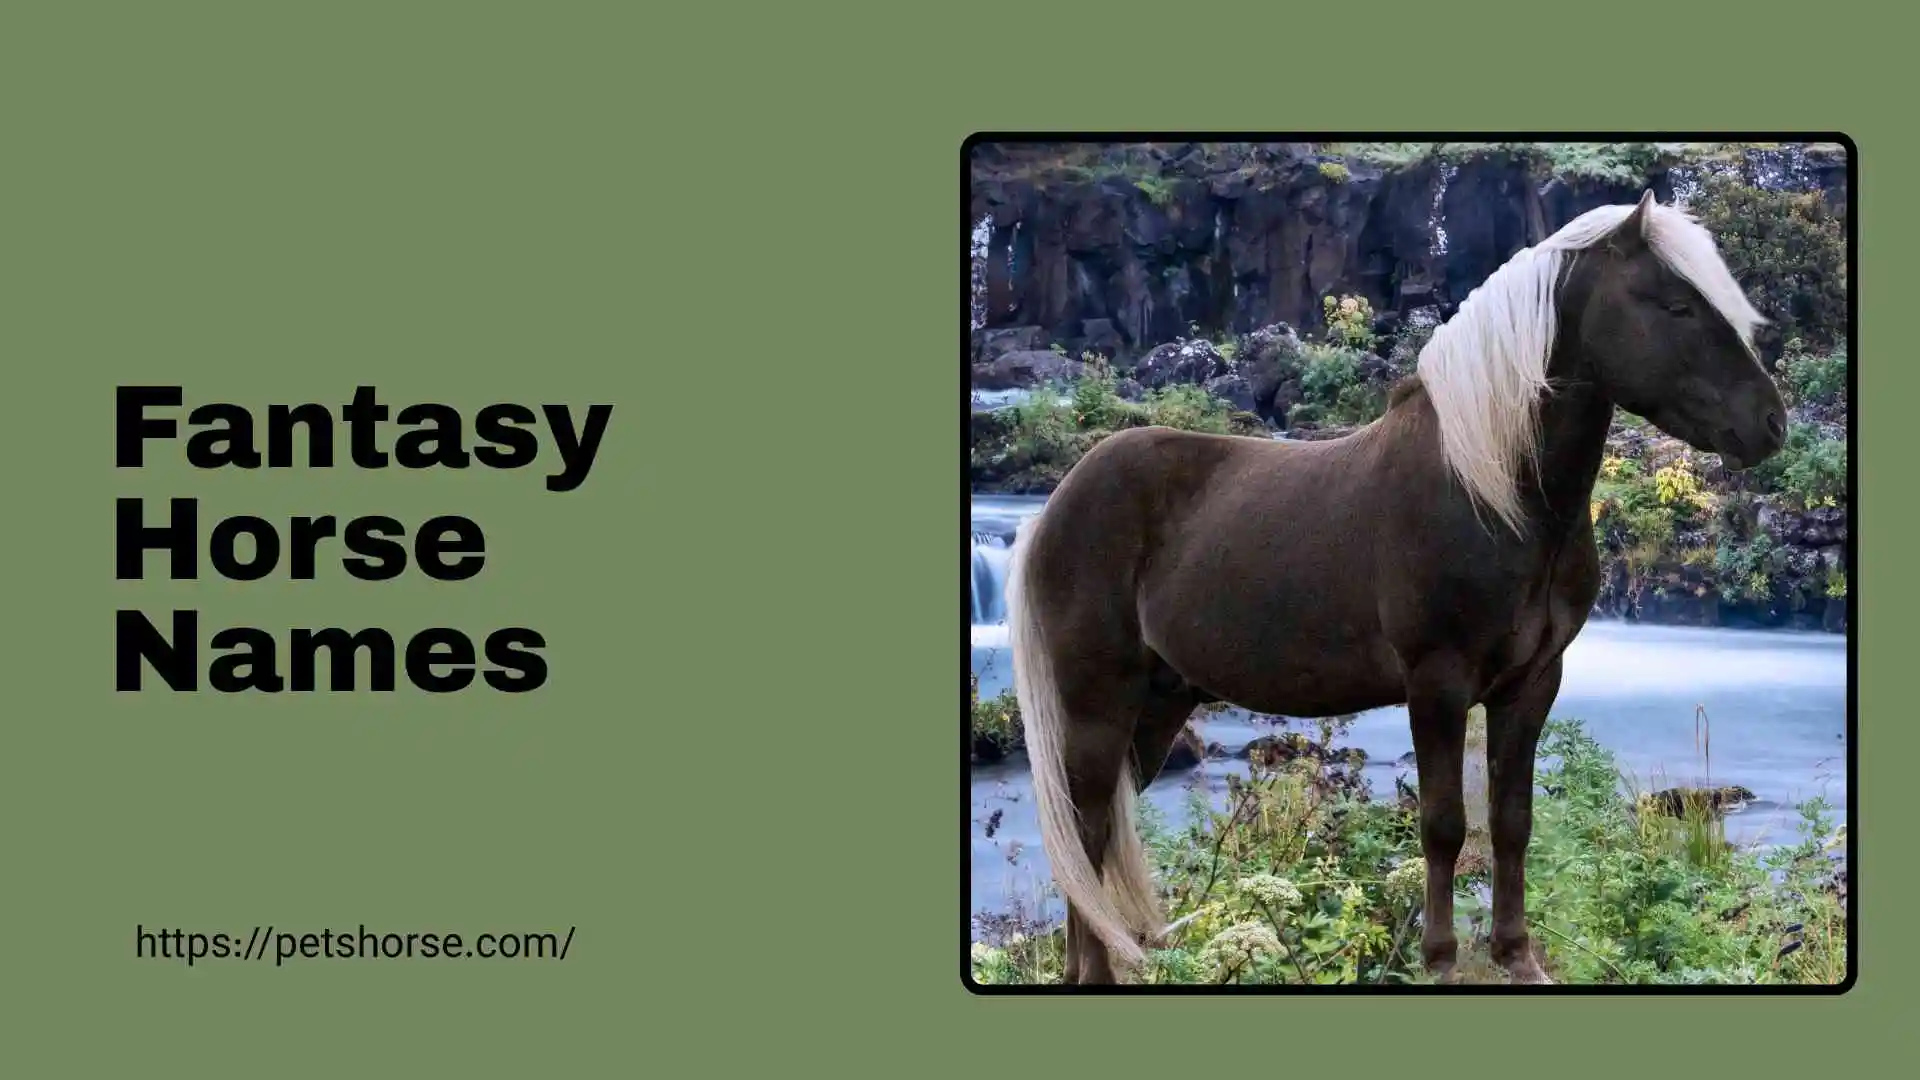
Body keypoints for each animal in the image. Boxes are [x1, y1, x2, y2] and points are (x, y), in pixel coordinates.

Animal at [1002, 190, 1787, 986]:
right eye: (1676, 305)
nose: (1769, 423)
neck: (1491, 489)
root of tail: (1055, 506)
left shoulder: (1532, 683)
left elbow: (1512, 821)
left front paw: (1516, 956)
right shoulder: (1436, 684)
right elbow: (1443, 825)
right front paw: (1438, 959)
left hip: (1160, 703)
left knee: (1098, 831)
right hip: (1098, 700)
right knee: (1086, 825)